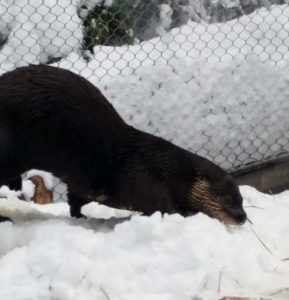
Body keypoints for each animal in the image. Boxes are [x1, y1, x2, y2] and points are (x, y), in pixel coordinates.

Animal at [0, 65, 246, 225]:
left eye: (241, 199)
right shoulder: (148, 184)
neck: (168, 171)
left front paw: (81, 217)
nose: (242, 217)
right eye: (225, 198)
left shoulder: (83, 183)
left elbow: (75, 200)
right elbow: (165, 209)